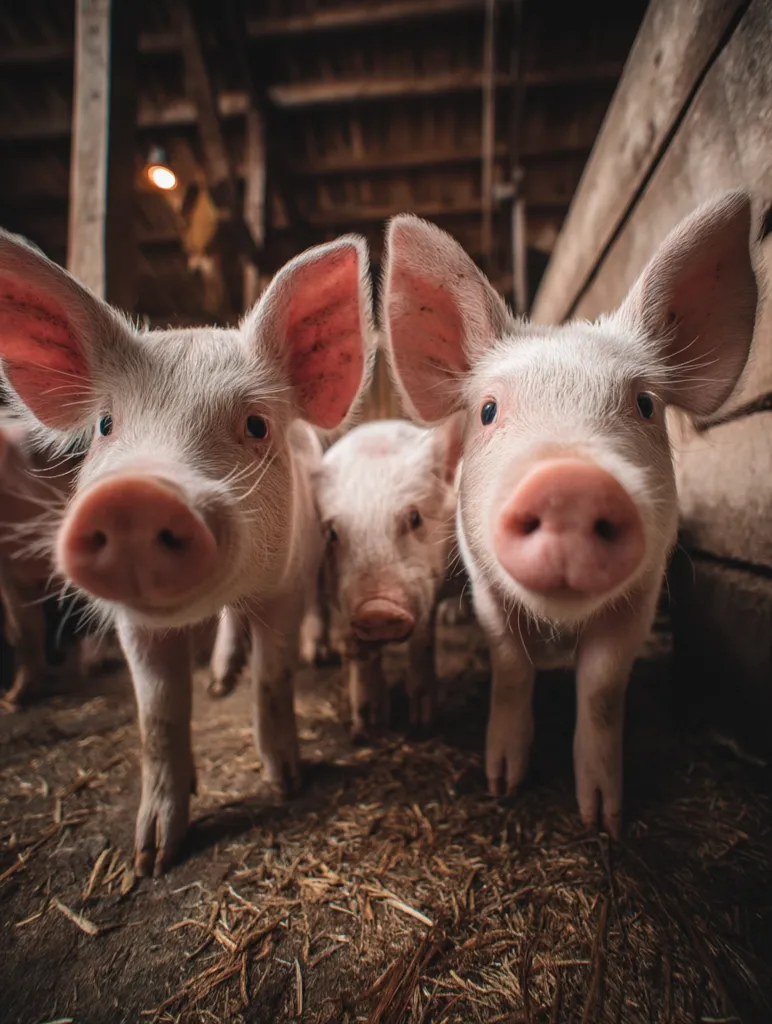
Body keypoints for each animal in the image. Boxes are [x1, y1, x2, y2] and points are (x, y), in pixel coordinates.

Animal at [0, 230, 375, 875]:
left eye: (256, 425)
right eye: (106, 425)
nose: (135, 497)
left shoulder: (285, 585)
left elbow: (274, 680)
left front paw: (287, 783)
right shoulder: (132, 624)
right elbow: (157, 716)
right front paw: (149, 858)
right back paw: (220, 679)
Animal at [313, 417, 464, 739]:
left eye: (415, 517)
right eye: (331, 533)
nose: (377, 609)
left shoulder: (426, 587)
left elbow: (423, 643)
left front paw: (423, 725)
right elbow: (358, 651)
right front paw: (367, 729)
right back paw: (318, 656)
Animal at [380, 190, 759, 836]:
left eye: (645, 405)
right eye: (488, 410)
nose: (569, 485)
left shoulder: (644, 590)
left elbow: (602, 688)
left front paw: (602, 820)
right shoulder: (485, 584)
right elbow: (510, 667)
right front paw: (502, 784)